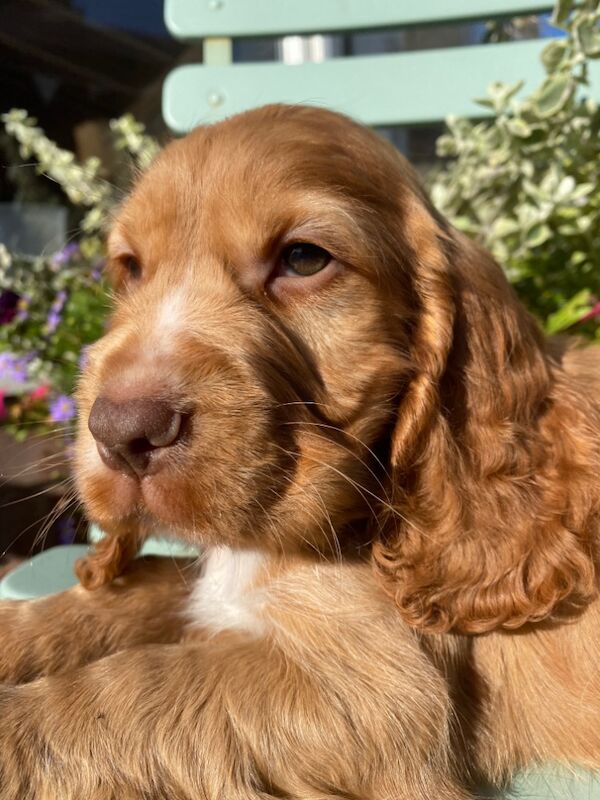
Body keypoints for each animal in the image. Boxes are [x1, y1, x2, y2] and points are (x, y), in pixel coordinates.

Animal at [1, 106, 600, 800]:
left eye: (304, 259)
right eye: (130, 268)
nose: (121, 431)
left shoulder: (376, 697)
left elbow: (125, 687)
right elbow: (144, 586)